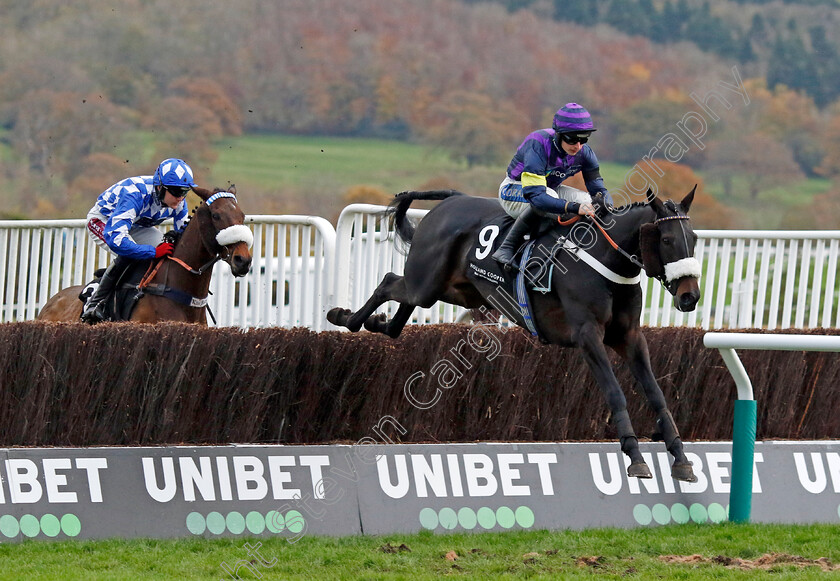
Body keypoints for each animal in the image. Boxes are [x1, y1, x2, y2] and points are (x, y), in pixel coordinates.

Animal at [328, 189, 704, 480]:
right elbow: (615, 393)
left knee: (399, 310)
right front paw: (636, 458)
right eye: (666, 239)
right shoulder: (587, 336)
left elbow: (657, 395)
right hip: (428, 283)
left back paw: (376, 323)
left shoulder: (629, 337)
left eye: (695, 239)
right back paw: (344, 317)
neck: (605, 261)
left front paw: (682, 460)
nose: (690, 296)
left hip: (455, 291)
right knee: (389, 281)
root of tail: (451, 201)